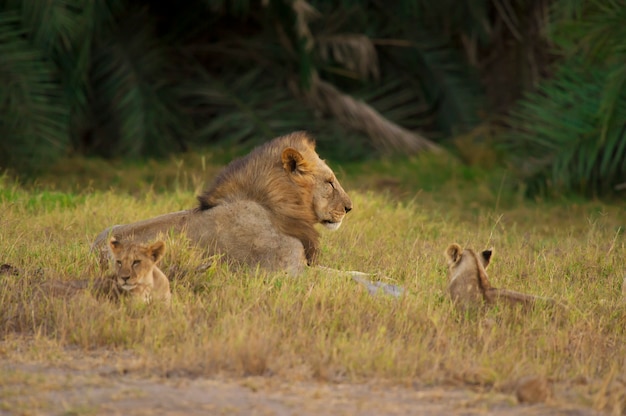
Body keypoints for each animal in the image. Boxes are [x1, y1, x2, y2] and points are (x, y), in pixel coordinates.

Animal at [94, 132, 354, 276]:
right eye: (330, 182)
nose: (349, 208)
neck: (275, 208)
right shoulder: (288, 271)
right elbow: (351, 279)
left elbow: (353, 272)